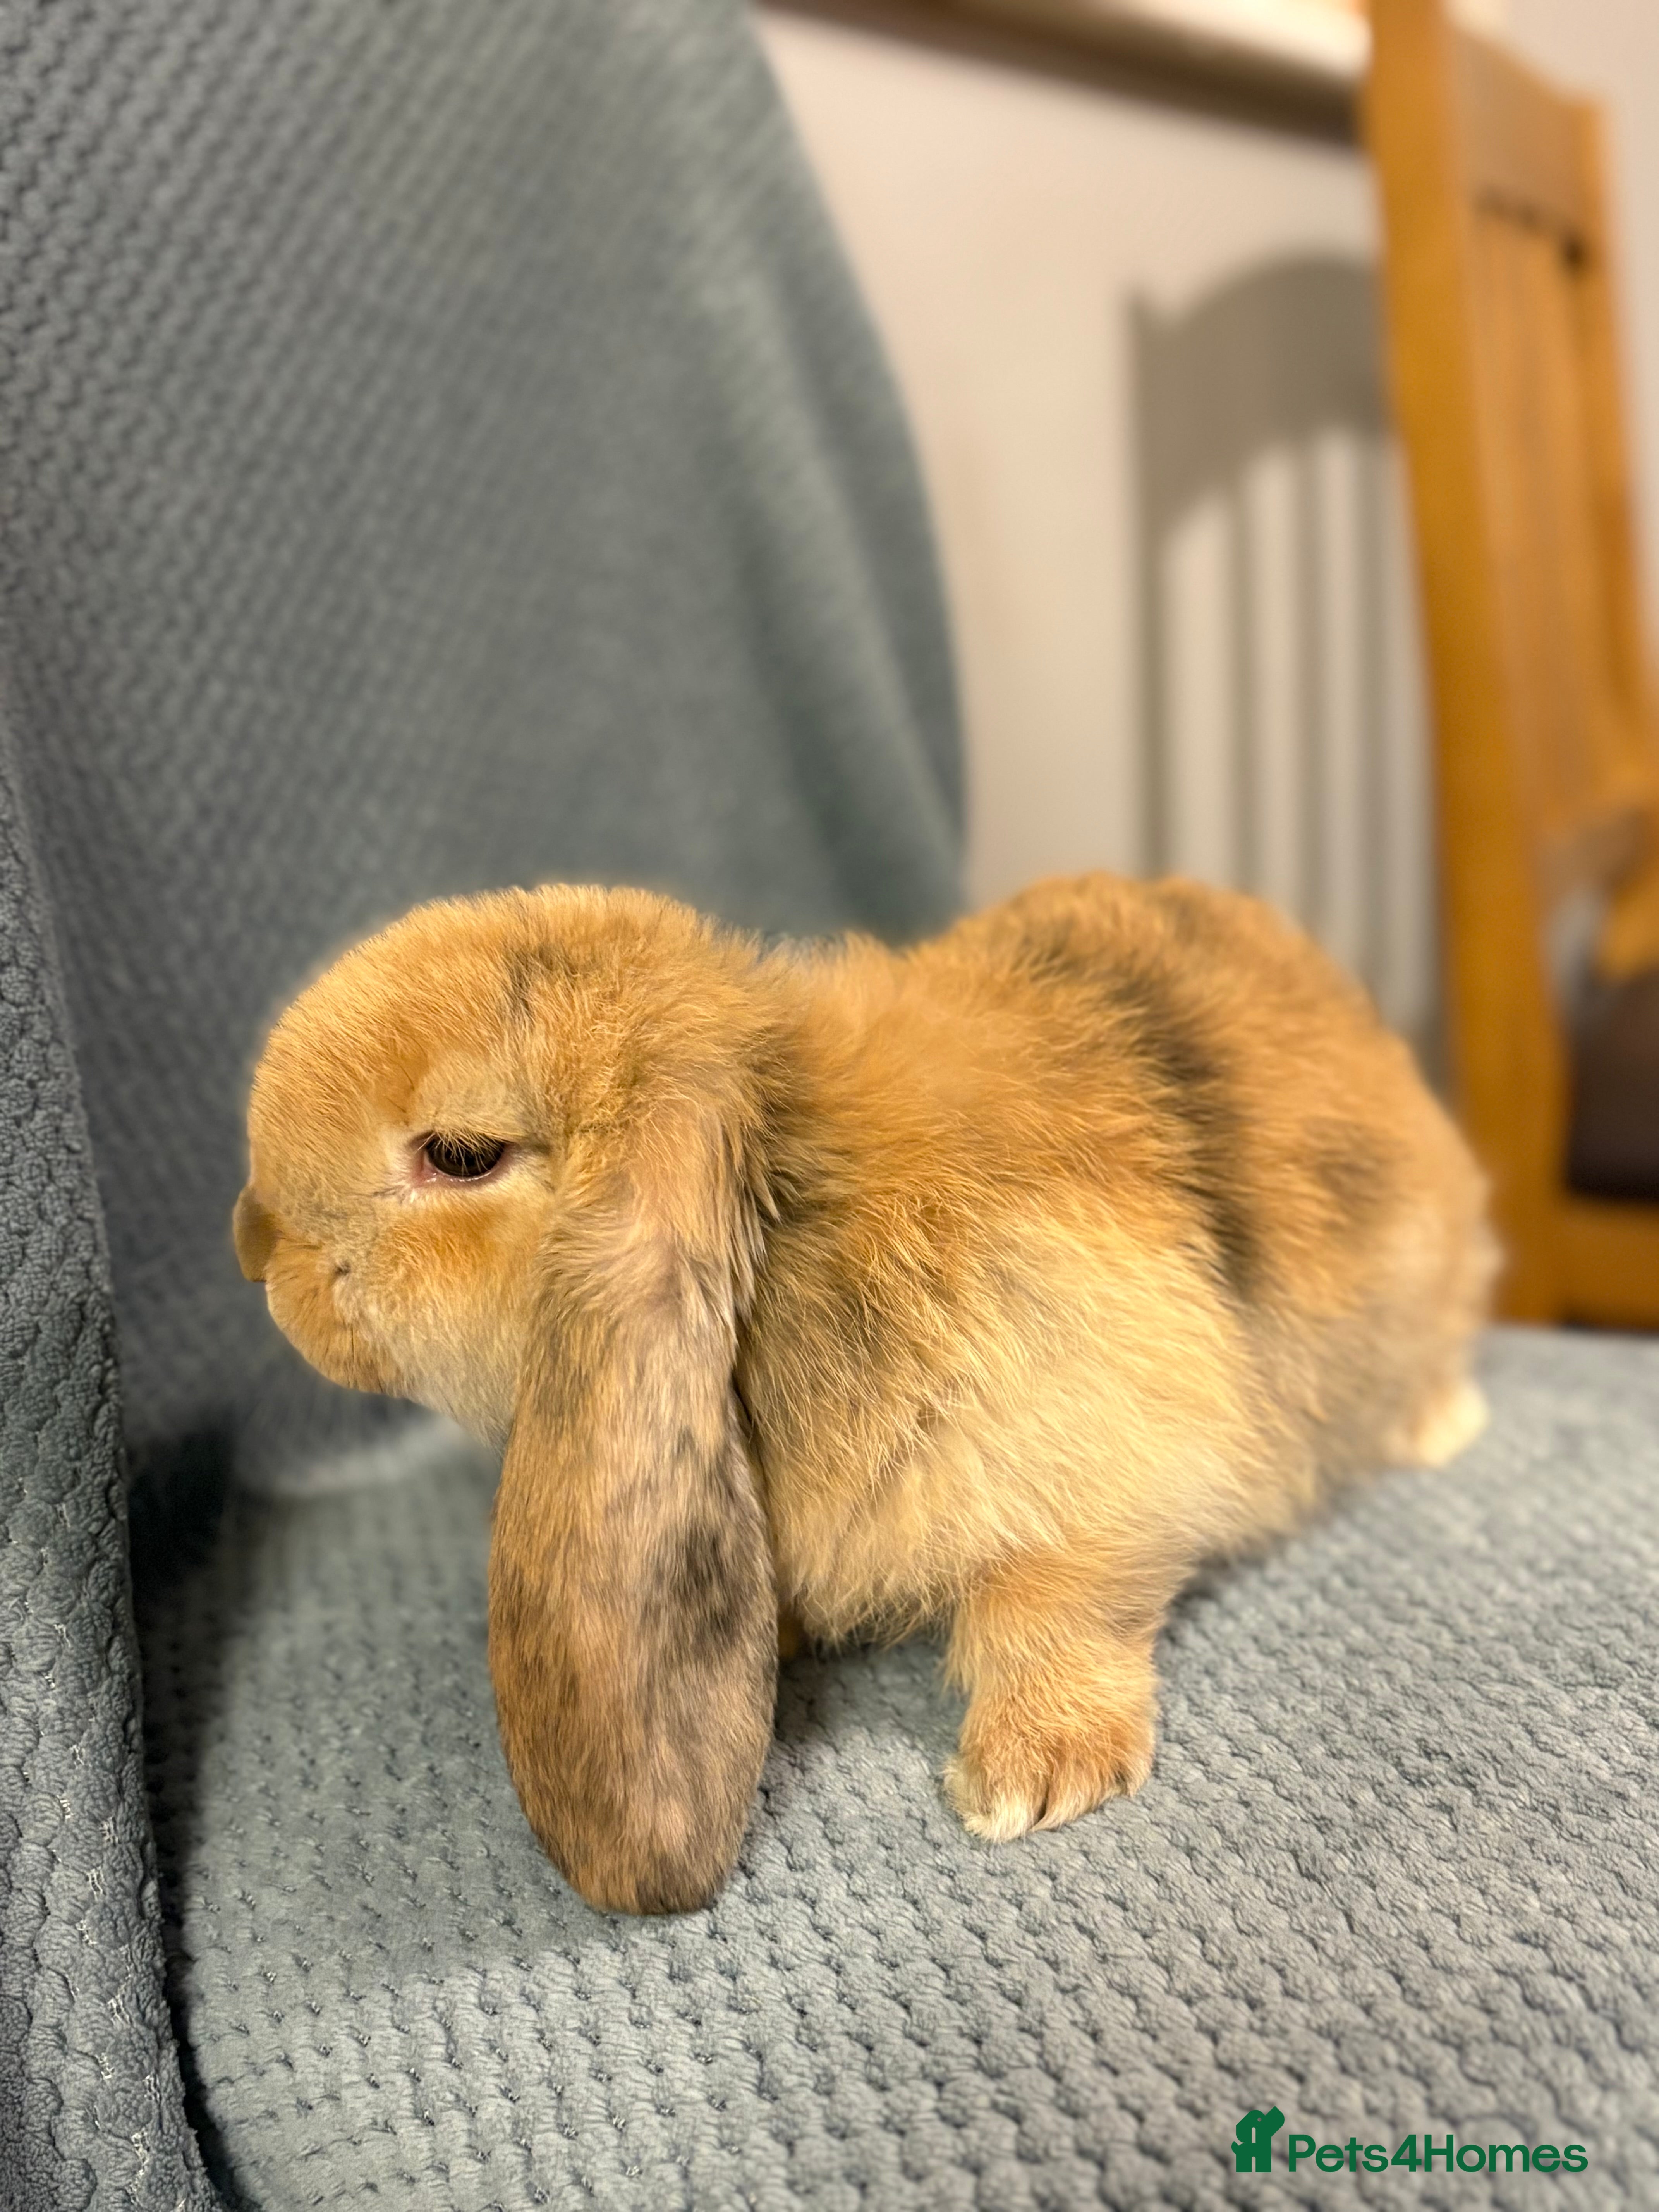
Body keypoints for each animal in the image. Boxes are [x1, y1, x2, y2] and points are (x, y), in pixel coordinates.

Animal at [234, 872, 1496, 1915]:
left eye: (459, 1154)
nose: (259, 1250)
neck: (795, 1196)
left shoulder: (1102, 1452)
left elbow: (1056, 1609)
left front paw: (1030, 1779)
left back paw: (1445, 1428)